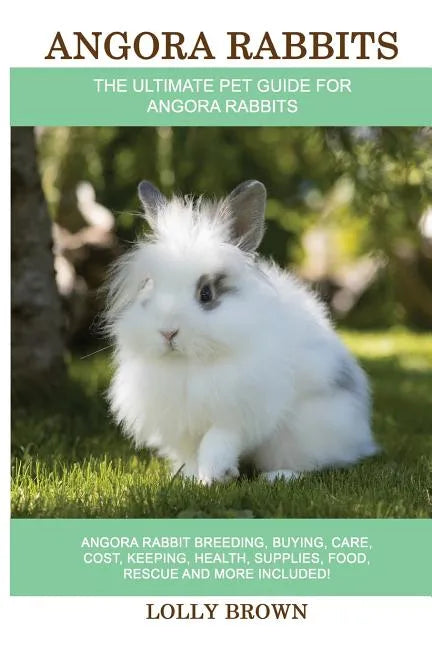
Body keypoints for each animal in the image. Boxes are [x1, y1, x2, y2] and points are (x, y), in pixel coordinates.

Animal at [105, 179, 377, 484]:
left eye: (206, 293)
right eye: (150, 286)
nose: (168, 332)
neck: (189, 364)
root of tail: (359, 439)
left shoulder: (236, 413)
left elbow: (217, 442)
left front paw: (213, 477)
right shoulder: (184, 423)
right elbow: (191, 452)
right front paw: (191, 477)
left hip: (307, 432)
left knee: (317, 464)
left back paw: (278, 476)